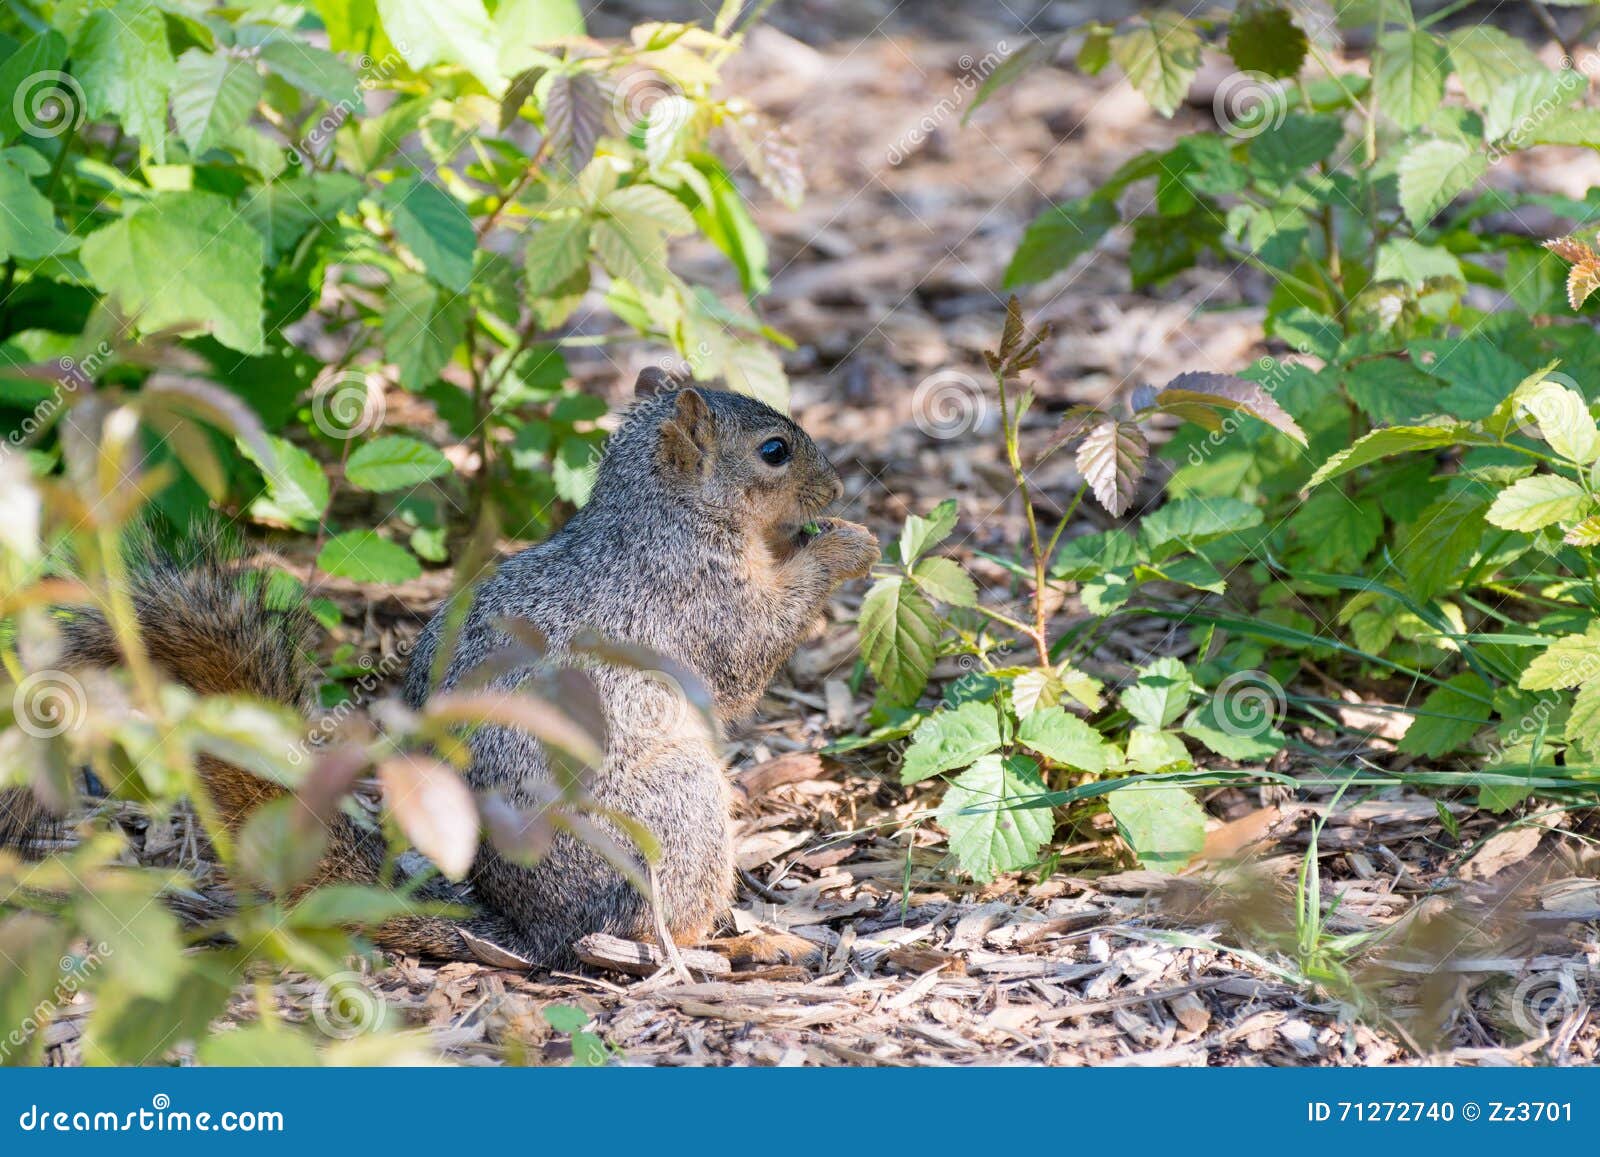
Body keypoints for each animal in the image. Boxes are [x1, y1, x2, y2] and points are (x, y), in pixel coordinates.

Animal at [2, 373, 878, 969]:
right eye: (773, 451)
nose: (839, 485)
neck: (666, 516)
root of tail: (531, 931)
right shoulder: (696, 599)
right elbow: (750, 651)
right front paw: (845, 544)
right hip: (675, 813)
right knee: (639, 935)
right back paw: (741, 946)